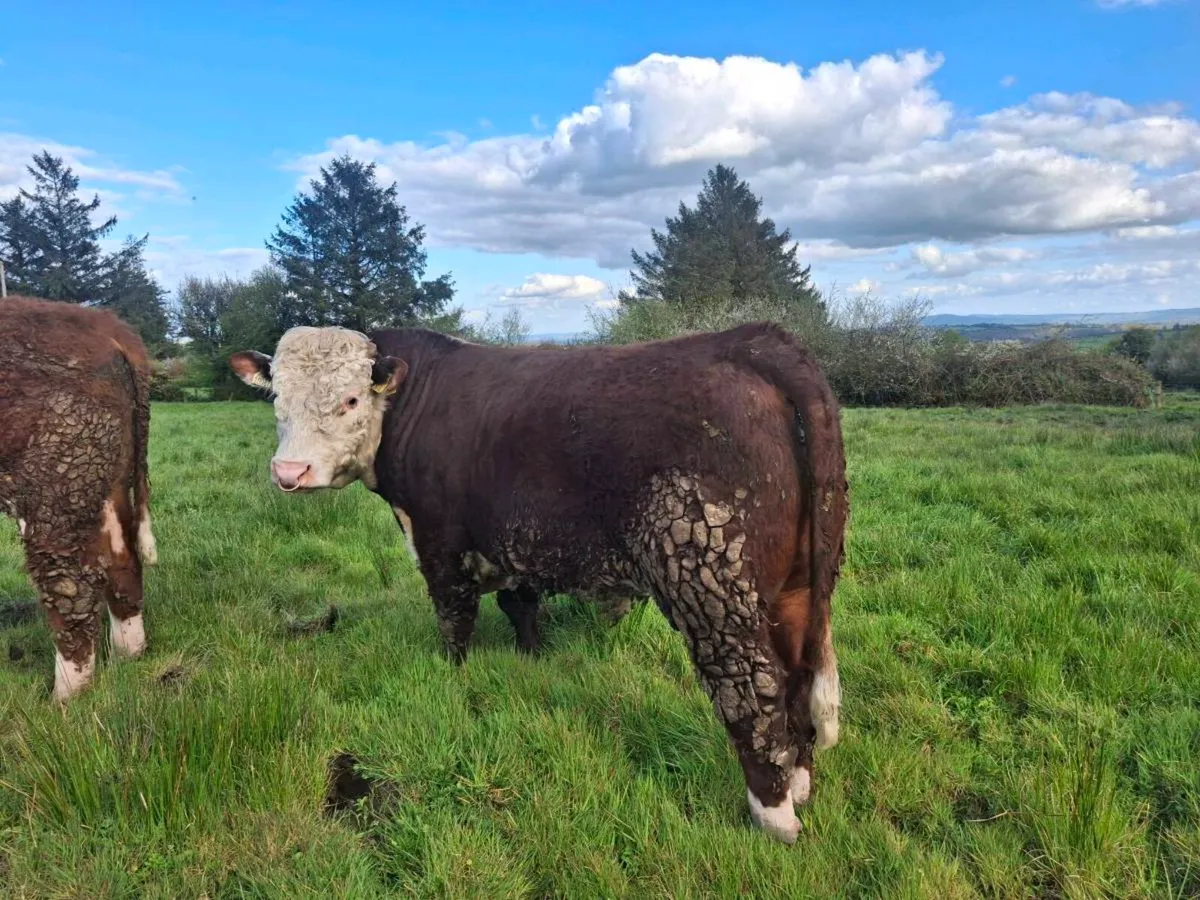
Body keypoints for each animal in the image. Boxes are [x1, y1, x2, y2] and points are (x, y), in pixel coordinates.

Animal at [1, 296, 157, 701]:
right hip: (106, 485)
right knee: (122, 563)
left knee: (71, 589)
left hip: (54, 490)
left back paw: (64, 698)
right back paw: (127, 657)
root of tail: (106, 327)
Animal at [230, 321, 848, 843]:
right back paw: (800, 784)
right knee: (798, 678)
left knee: (753, 690)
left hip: (709, 582)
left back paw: (773, 816)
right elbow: (519, 604)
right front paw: (531, 657)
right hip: (795, 588)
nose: (289, 473)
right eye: (277, 400)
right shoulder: (511, 543)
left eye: (351, 399)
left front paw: (453, 675)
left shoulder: (439, 542)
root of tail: (750, 340)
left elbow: (454, 621)